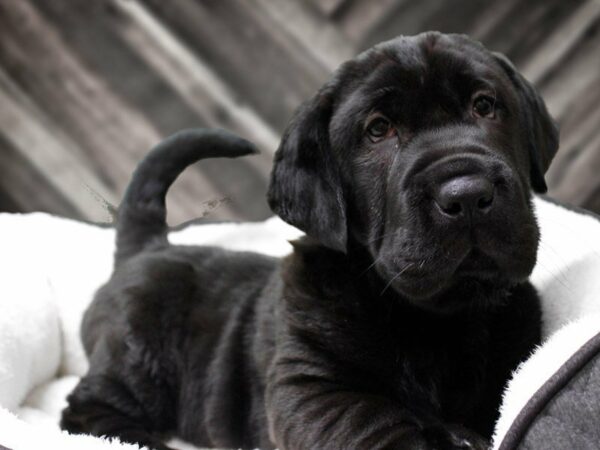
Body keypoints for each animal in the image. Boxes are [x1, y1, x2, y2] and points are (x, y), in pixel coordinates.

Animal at [61, 33, 556, 450]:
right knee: (87, 411)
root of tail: (149, 246)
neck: (437, 320)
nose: (467, 195)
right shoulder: (314, 391)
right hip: (138, 357)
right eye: (378, 129)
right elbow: (382, 429)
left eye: (485, 105)